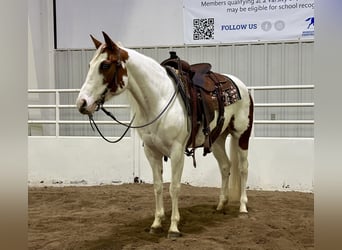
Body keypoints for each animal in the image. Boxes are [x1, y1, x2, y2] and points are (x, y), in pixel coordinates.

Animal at [77, 31, 254, 238]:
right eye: (90, 65)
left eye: (105, 65)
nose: (82, 103)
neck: (159, 99)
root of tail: (240, 85)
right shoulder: (151, 152)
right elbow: (158, 186)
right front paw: (156, 223)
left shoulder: (177, 152)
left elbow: (174, 187)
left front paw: (174, 227)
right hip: (217, 139)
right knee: (225, 166)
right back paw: (220, 205)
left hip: (242, 135)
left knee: (243, 168)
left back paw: (242, 208)